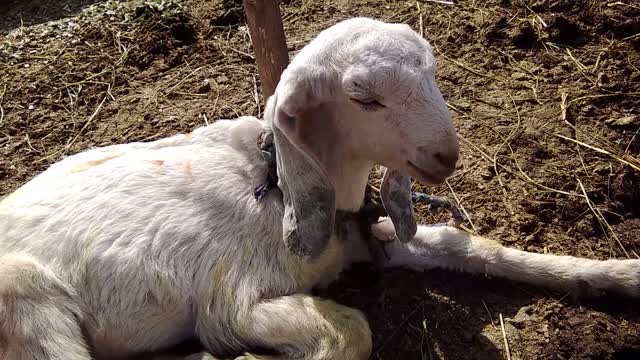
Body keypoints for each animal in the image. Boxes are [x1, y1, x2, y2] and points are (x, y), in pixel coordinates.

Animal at [1, 16, 640, 360]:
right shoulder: (231, 301)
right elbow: (350, 329)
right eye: (363, 96)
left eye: (434, 71)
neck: (279, 190)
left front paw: (613, 275)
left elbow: (465, 245)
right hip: (25, 300)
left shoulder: (363, 234)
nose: (446, 155)